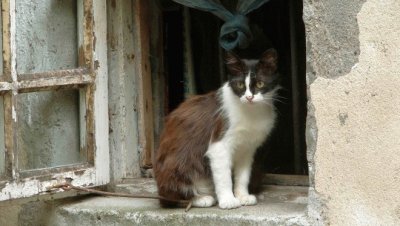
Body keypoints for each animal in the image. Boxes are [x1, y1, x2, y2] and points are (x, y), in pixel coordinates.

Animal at [152, 48, 278, 210]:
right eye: (240, 85)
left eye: (260, 84)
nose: (249, 97)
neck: (251, 111)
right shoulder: (219, 143)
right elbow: (224, 176)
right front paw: (228, 200)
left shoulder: (247, 148)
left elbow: (243, 175)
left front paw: (242, 196)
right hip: (178, 163)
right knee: (169, 199)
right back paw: (200, 199)